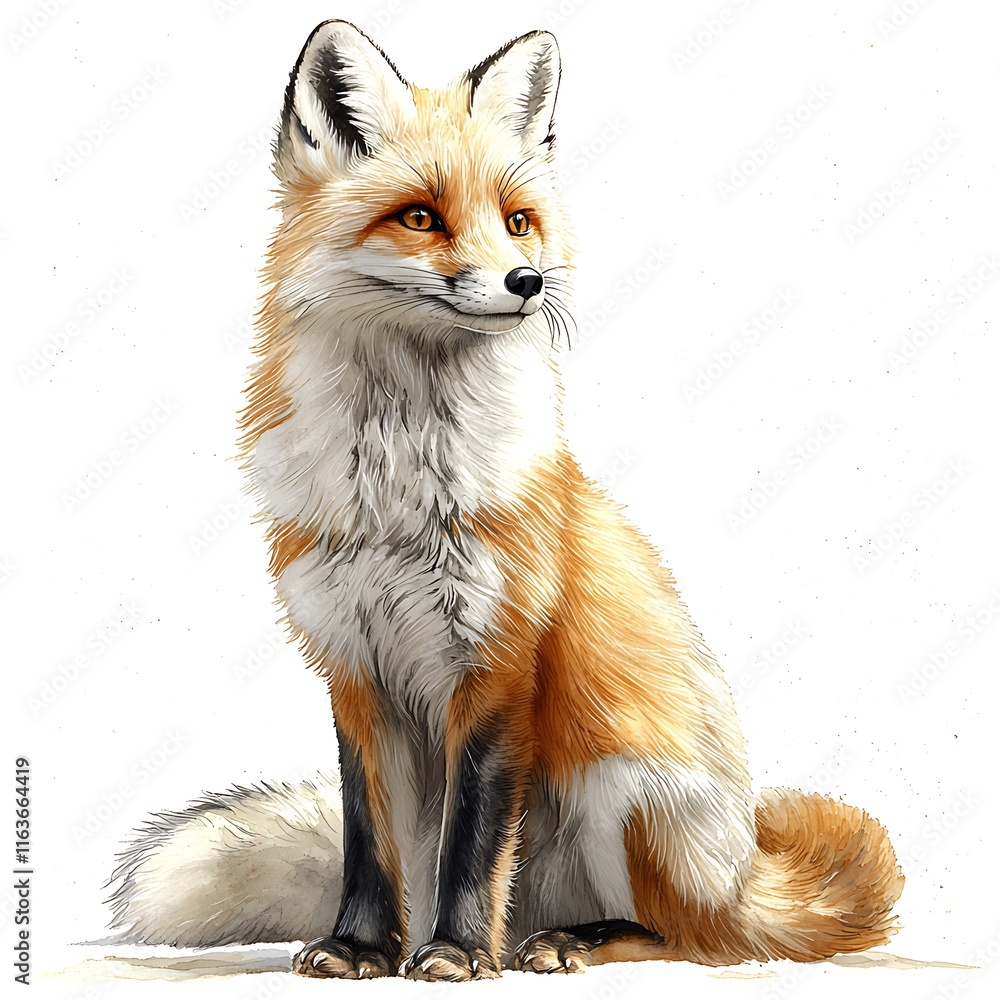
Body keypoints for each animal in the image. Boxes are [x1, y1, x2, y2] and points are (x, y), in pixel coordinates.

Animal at [107, 20, 903, 981]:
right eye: (421, 216)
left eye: (518, 221)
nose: (526, 281)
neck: (398, 492)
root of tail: (749, 875)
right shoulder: (353, 668)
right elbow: (368, 835)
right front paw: (361, 945)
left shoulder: (498, 659)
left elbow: (476, 835)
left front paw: (453, 951)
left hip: (620, 789)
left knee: (686, 936)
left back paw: (562, 942)